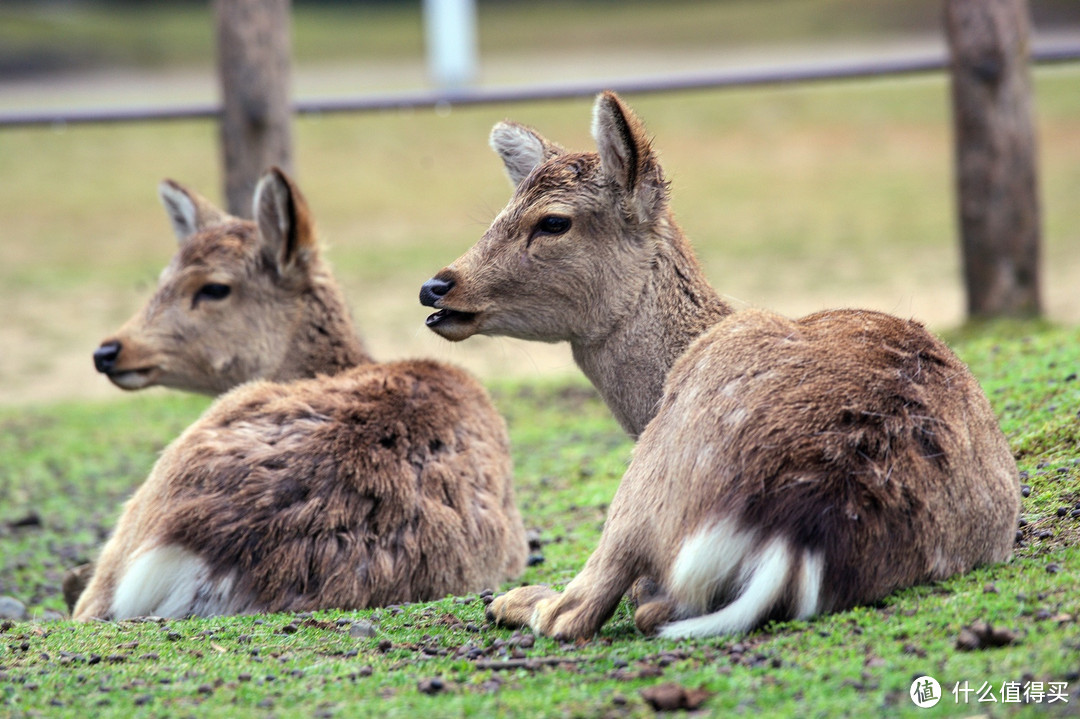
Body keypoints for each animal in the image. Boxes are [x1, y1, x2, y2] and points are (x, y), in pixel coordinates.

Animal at [421, 91, 1019, 639]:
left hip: (651, 472)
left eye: (552, 222)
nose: (436, 287)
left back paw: (513, 600)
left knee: (577, 610)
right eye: (499, 213)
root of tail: (799, 531)